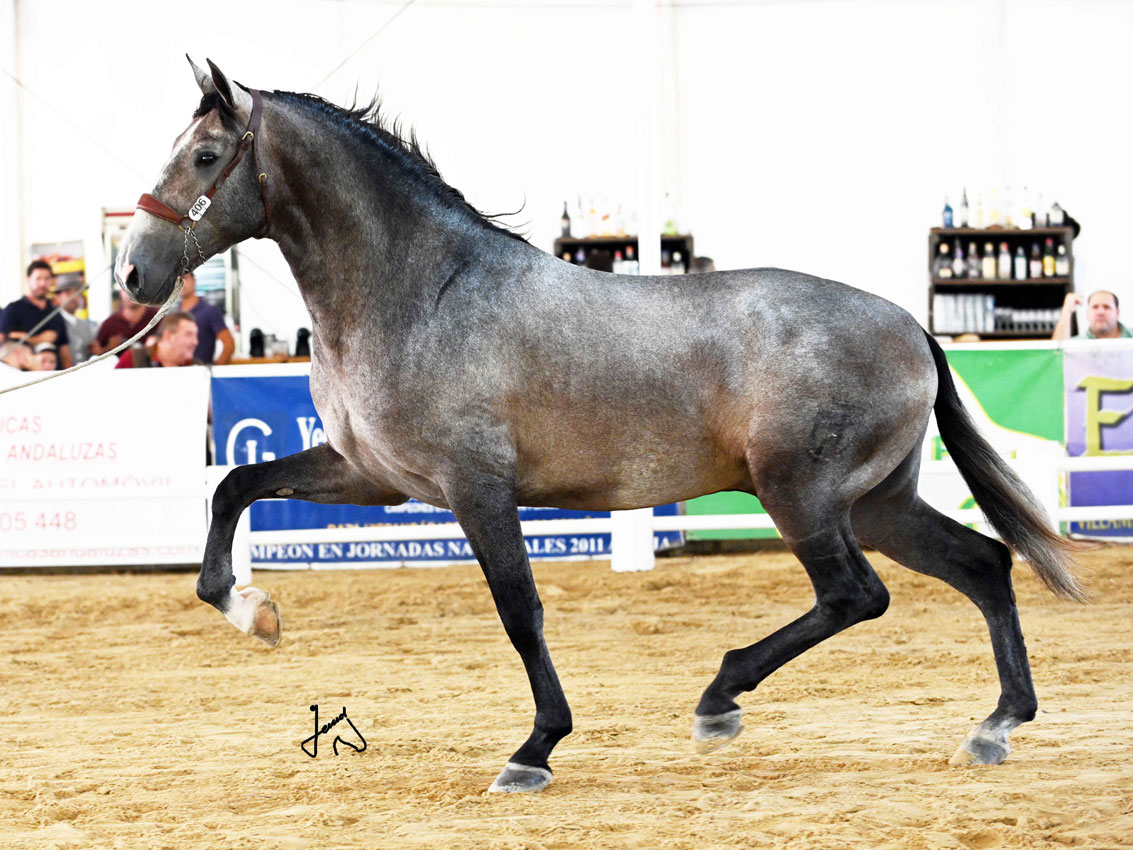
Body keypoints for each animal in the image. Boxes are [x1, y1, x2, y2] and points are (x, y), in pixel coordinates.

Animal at [112, 58, 1078, 793]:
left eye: (205, 156)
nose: (133, 275)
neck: (421, 292)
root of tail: (911, 326)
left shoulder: (475, 488)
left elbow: (519, 610)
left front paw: (533, 751)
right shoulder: (375, 477)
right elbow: (235, 484)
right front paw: (250, 610)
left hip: (799, 494)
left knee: (855, 594)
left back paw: (720, 698)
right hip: (876, 501)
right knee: (982, 564)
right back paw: (995, 725)